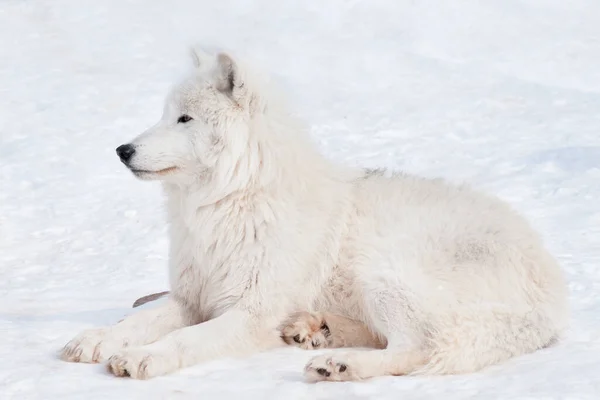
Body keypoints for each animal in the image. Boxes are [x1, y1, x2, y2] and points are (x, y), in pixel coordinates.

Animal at [59, 47, 568, 382]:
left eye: (184, 119)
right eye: (164, 115)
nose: (123, 150)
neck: (229, 202)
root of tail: (552, 297)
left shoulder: (251, 311)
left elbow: (185, 339)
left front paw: (145, 357)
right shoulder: (192, 297)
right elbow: (134, 321)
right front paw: (96, 339)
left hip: (380, 273)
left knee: (419, 348)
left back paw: (337, 364)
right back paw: (314, 331)